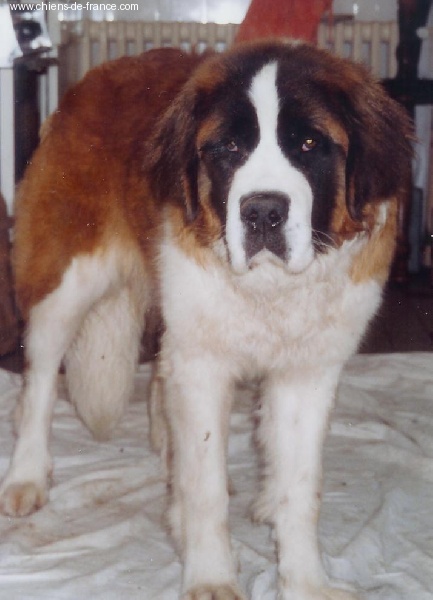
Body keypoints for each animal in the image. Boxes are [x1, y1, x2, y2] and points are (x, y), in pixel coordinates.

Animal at [0, 42, 412, 600]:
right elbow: (205, 488)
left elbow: (300, 488)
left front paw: (305, 580)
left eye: (309, 143)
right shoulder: (202, 367)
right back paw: (26, 475)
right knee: (39, 380)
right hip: (66, 282)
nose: (263, 212)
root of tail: (90, 80)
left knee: (159, 380)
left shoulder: (307, 373)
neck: (270, 288)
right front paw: (212, 575)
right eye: (228, 149)